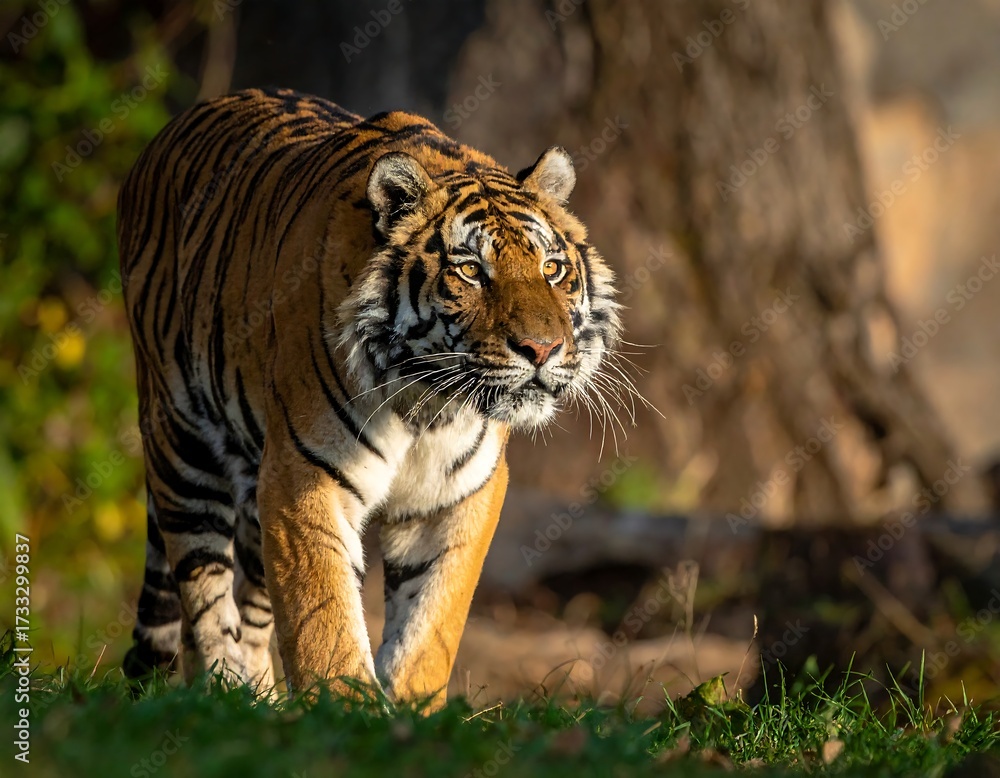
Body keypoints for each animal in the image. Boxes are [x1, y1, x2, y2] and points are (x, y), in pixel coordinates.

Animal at [117, 87, 623, 708]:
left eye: (552, 268)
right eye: (471, 271)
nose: (542, 348)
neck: (427, 405)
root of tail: (166, 134)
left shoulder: (457, 495)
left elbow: (430, 627)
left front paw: (408, 709)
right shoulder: (304, 477)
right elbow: (324, 618)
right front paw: (344, 713)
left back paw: (258, 707)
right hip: (182, 447)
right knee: (207, 604)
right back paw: (225, 695)